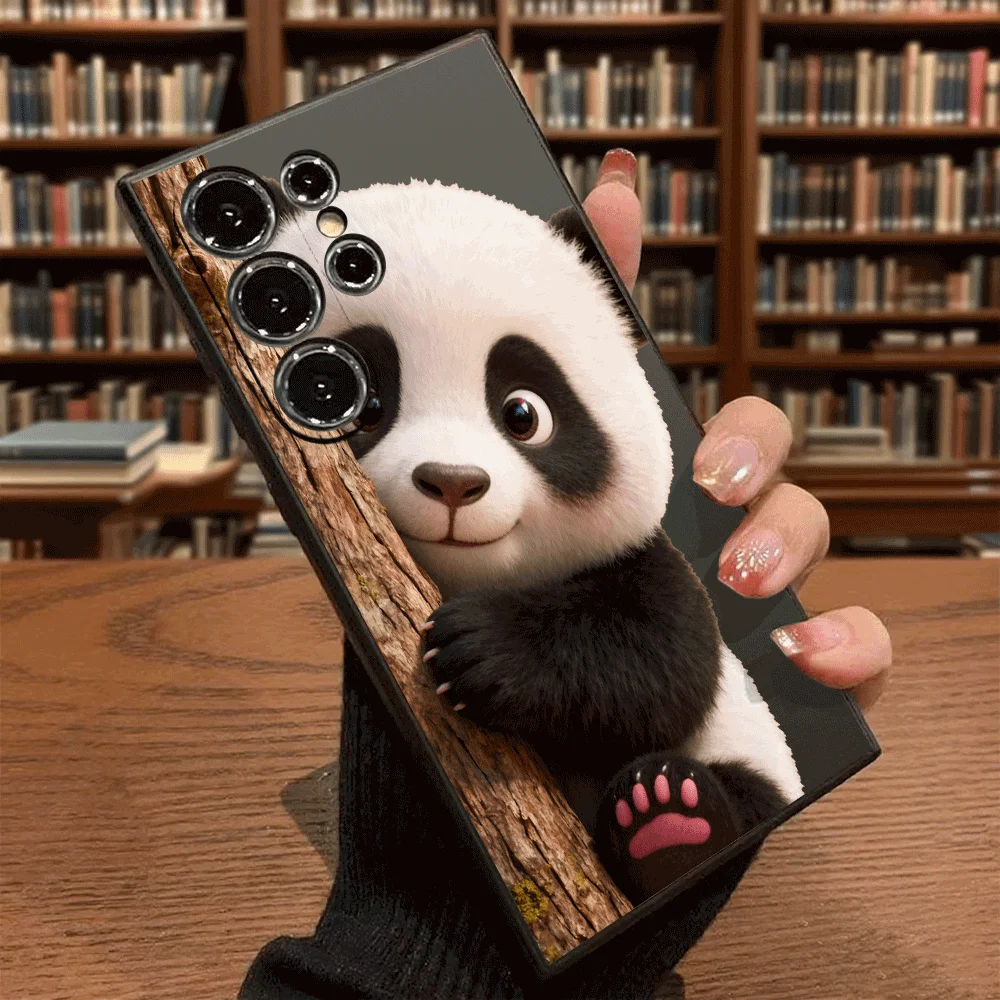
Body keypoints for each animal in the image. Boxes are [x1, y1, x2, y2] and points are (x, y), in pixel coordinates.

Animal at [263, 178, 804, 904]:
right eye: (354, 402)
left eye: (524, 413)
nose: (453, 482)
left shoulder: (642, 564)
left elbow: (662, 655)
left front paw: (481, 647)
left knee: (744, 793)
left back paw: (669, 823)